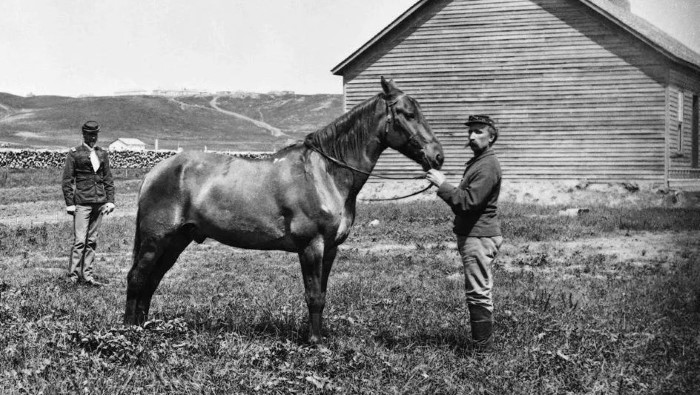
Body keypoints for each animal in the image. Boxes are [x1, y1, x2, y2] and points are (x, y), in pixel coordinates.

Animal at [124, 77, 442, 344]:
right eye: (407, 114)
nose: (437, 156)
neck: (324, 173)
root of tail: (155, 171)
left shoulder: (330, 249)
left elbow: (322, 293)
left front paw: (318, 337)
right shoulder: (311, 246)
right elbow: (313, 295)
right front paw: (314, 342)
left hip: (177, 240)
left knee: (151, 281)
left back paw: (144, 327)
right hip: (156, 240)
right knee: (137, 278)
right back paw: (129, 332)